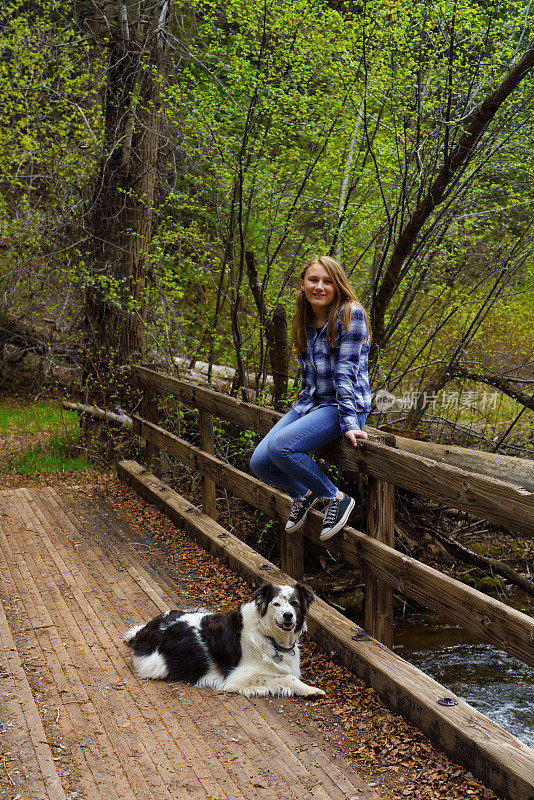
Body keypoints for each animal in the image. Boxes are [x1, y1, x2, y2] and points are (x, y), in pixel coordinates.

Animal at [124, 580, 326, 700]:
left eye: (295, 603)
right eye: (276, 604)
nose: (288, 616)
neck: (268, 635)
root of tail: (146, 628)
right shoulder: (238, 677)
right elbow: (288, 678)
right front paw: (311, 690)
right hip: (157, 665)